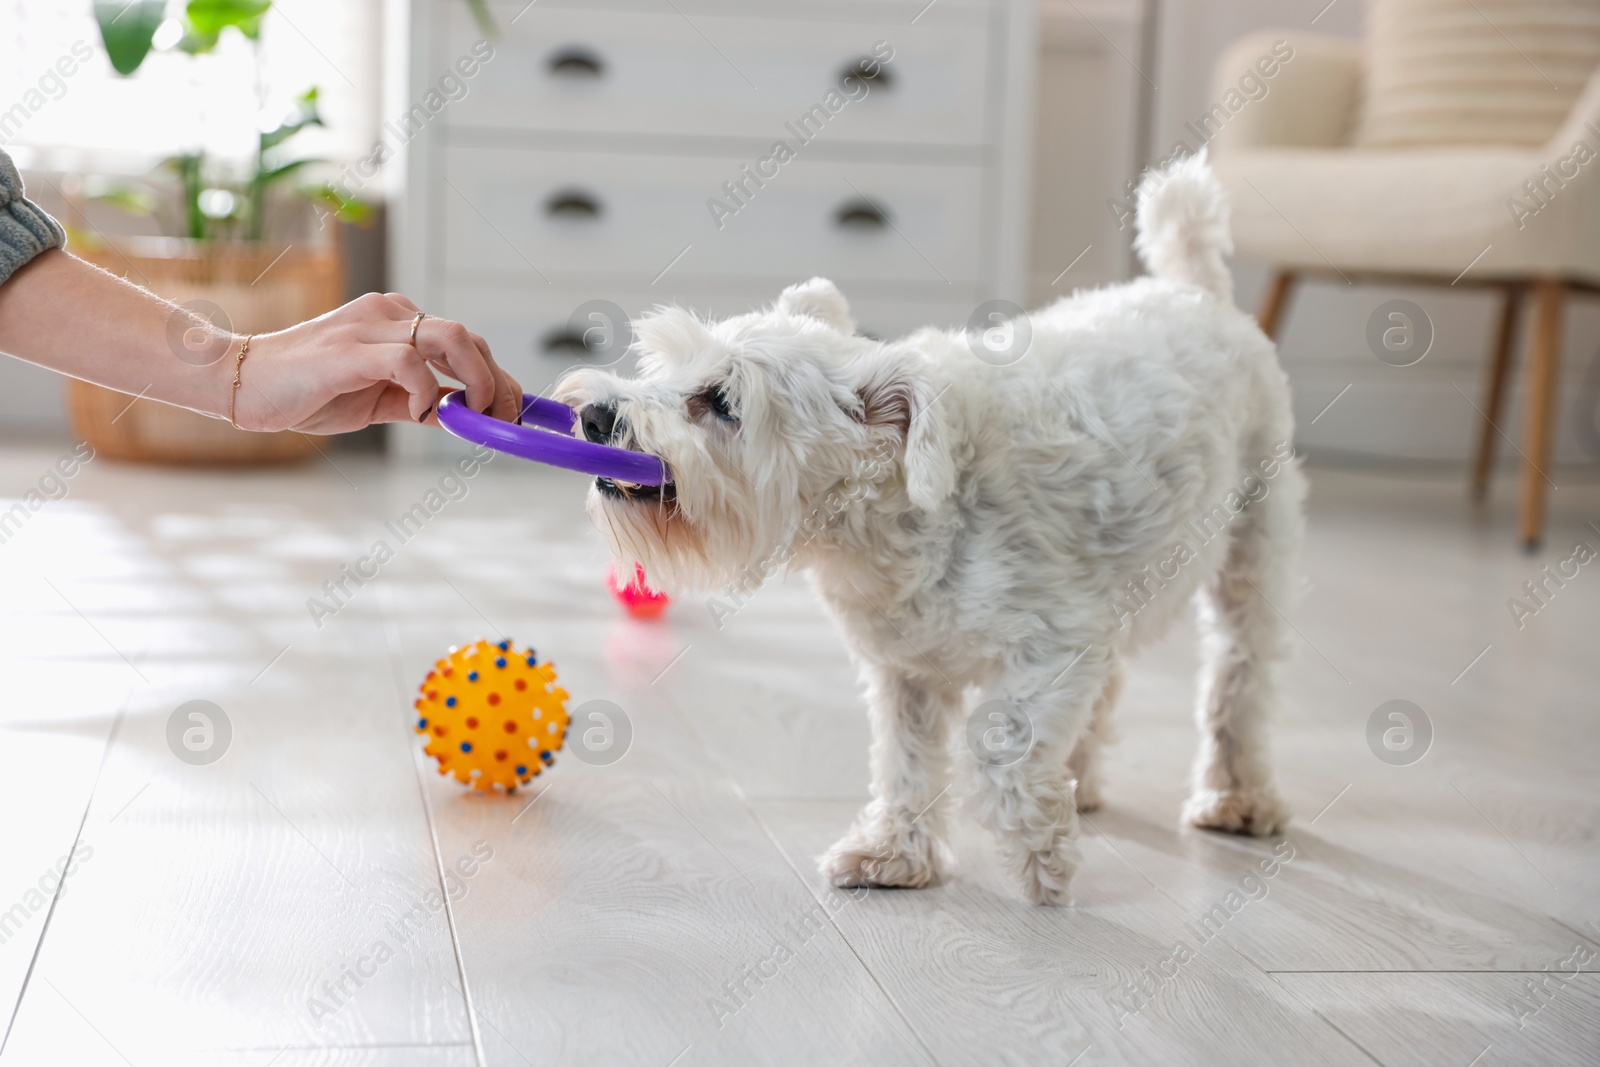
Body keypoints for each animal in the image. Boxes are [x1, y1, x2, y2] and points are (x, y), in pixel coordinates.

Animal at [556, 158, 1305, 908]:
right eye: (664, 366)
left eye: (721, 402)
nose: (595, 415)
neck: (901, 516)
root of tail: (1194, 288)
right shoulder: (905, 668)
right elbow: (905, 761)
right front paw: (895, 854)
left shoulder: (1053, 641)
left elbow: (998, 753)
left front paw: (1042, 858)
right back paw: (1082, 781)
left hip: (1252, 550)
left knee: (1239, 679)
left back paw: (1237, 798)